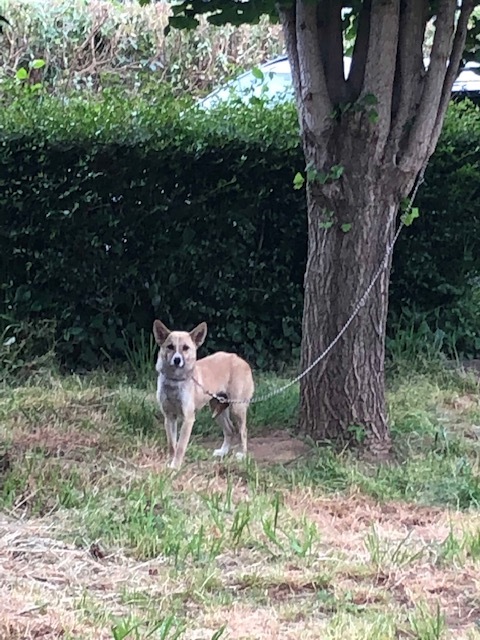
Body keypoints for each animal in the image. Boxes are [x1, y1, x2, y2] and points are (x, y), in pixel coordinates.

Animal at [153, 322, 255, 468]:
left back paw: (242, 455)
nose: (177, 360)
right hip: (217, 410)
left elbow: (180, 447)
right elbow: (172, 445)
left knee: (243, 431)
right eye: (170, 347)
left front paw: (176, 466)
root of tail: (241, 360)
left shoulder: (188, 419)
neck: (175, 381)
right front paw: (170, 463)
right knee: (230, 430)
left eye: (185, 348)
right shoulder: (169, 417)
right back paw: (223, 452)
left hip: (237, 408)